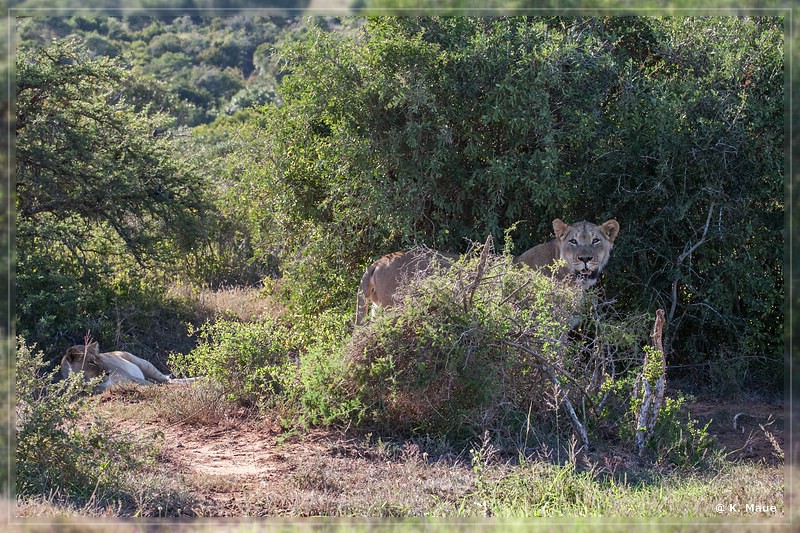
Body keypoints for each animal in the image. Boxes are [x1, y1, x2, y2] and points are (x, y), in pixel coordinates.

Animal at [60, 340, 196, 390]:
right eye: (91, 362)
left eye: (100, 359)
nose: (108, 372)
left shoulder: (131, 377)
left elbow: (149, 384)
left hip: (144, 364)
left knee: (168, 381)